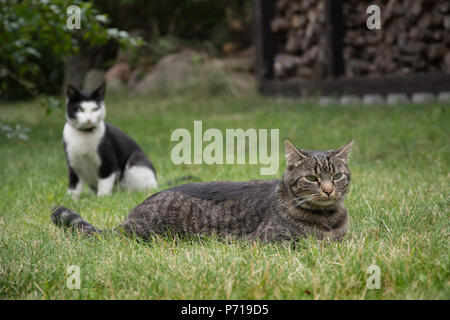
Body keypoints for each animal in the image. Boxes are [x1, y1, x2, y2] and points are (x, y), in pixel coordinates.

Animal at [51, 140, 354, 242]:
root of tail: (127, 219)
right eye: (312, 178)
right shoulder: (267, 241)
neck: (327, 218)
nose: (329, 190)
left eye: (337, 176)